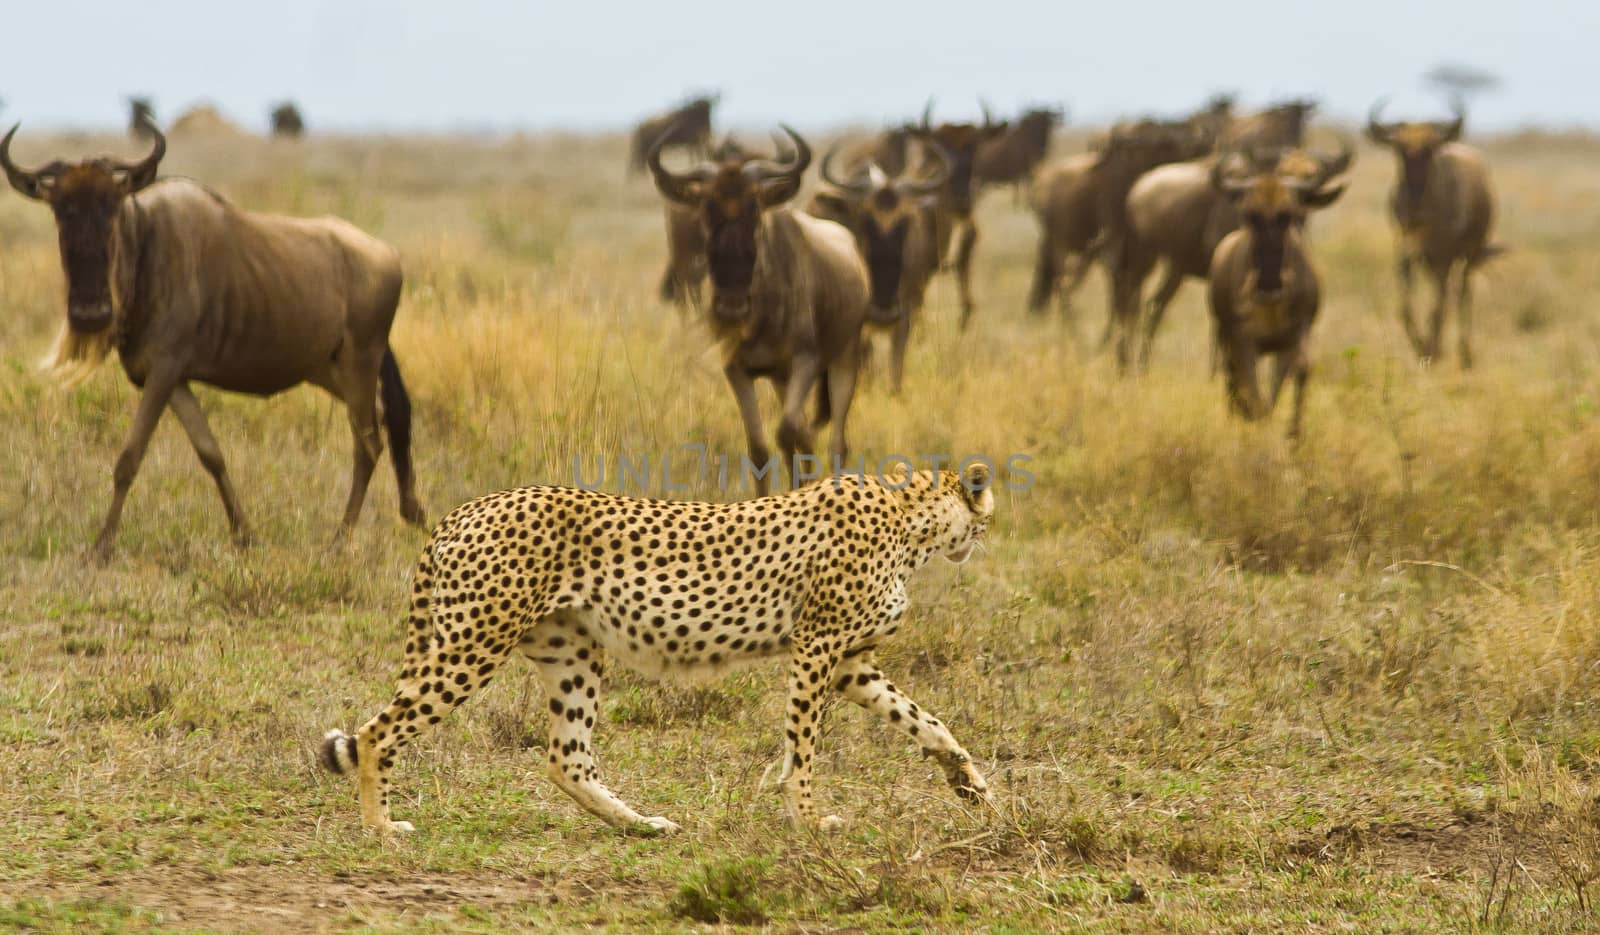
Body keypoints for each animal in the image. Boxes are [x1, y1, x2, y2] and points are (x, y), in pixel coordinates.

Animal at [318, 461, 992, 832]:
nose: (981, 539)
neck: (912, 521)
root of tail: (466, 508)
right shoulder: (817, 646)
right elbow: (802, 749)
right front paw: (806, 818)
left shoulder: (851, 663)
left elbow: (927, 720)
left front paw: (971, 786)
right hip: (474, 644)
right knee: (376, 732)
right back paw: (382, 829)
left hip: (571, 652)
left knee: (566, 757)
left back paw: (641, 826)